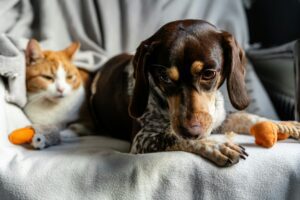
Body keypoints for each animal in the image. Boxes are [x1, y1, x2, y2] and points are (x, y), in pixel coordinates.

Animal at [91, 19, 268, 167]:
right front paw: (217, 146)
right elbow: (175, 137)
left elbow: (246, 117)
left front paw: (270, 123)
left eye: (208, 74)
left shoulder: (218, 118)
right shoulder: (141, 139)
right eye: (164, 77)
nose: (191, 131)